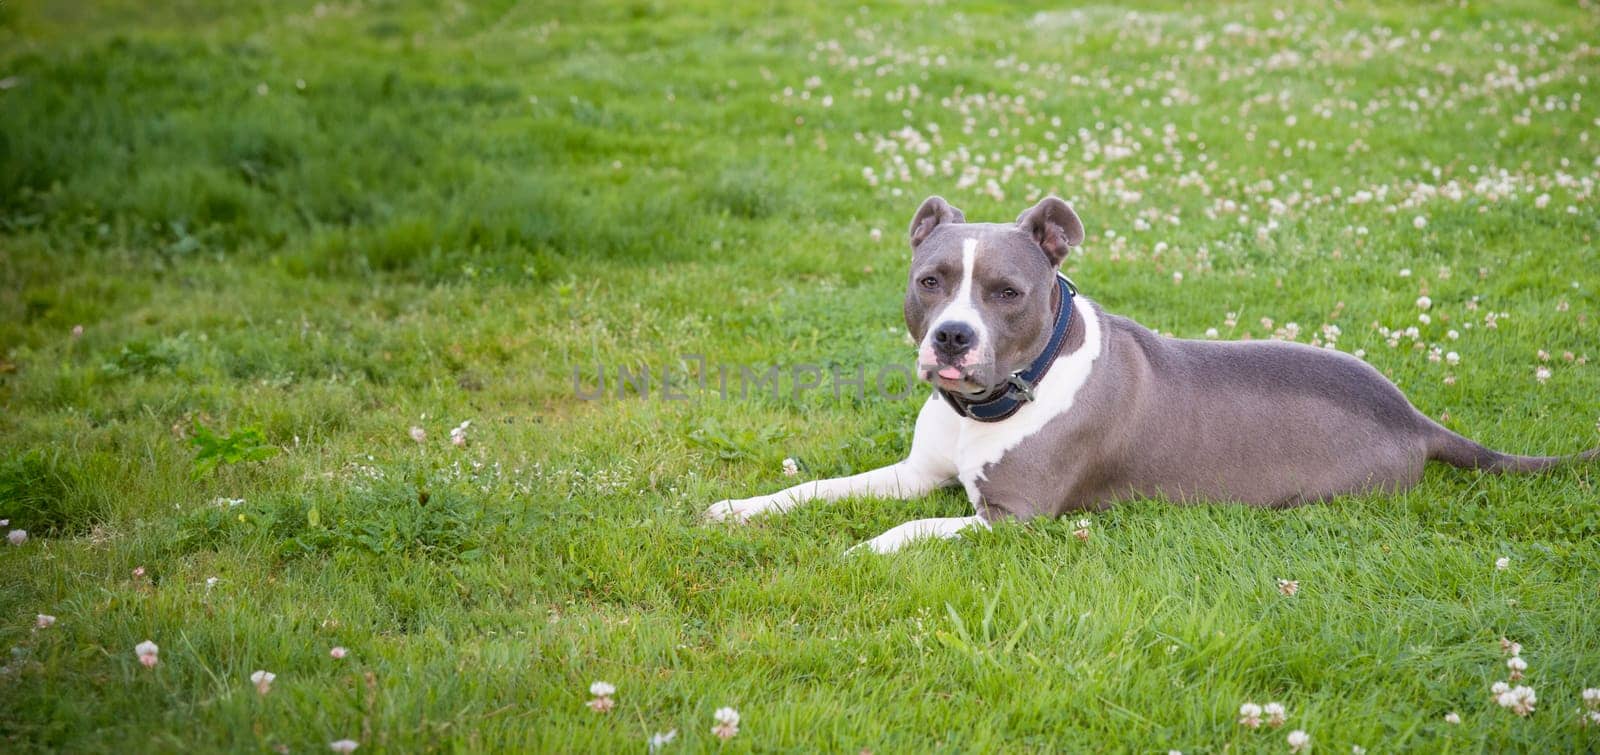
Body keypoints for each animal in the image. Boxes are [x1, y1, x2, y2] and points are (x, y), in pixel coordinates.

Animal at [707, 194, 1593, 550]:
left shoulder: (1014, 517)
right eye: (931, 280)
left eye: (1006, 291)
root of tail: (1414, 416)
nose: (953, 338)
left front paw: (862, 550)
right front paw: (741, 507)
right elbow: (816, 486)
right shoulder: (915, 470)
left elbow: (912, 529)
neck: (996, 404)